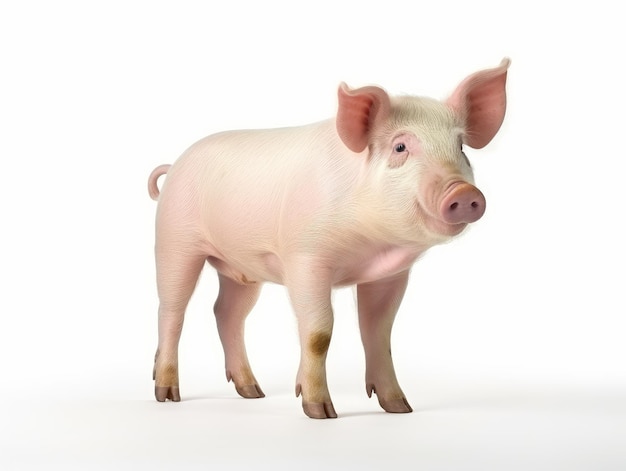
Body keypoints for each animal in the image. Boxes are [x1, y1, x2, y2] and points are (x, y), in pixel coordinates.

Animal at [149, 58, 510, 420]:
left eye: (461, 147)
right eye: (400, 147)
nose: (464, 193)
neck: (372, 245)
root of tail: (175, 165)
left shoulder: (390, 274)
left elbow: (379, 333)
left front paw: (400, 408)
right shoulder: (305, 258)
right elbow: (318, 333)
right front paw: (320, 412)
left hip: (241, 270)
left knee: (226, 313)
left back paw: (253, 392)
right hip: (174, 240)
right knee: (172, 310)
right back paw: (167, 395)